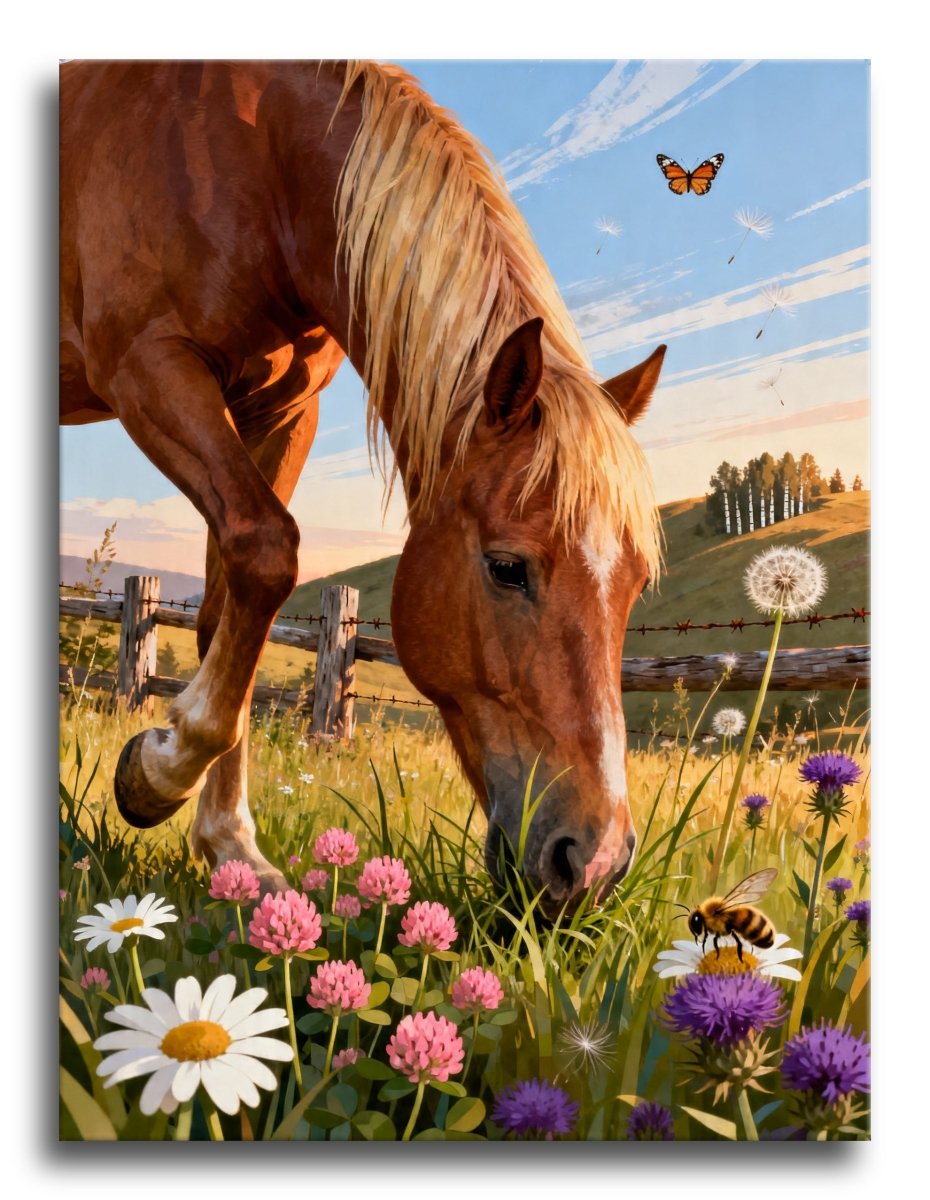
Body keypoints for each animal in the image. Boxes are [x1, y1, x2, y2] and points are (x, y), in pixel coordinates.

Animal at [60, 60, 666, 912]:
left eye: (637, 585)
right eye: (507, 567)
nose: (596, 863)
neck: (255, 156)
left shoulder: (281, 411)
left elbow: (226, 607)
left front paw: (230, 847)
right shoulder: (149, 368)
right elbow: (269, 550)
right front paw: (156, 776)